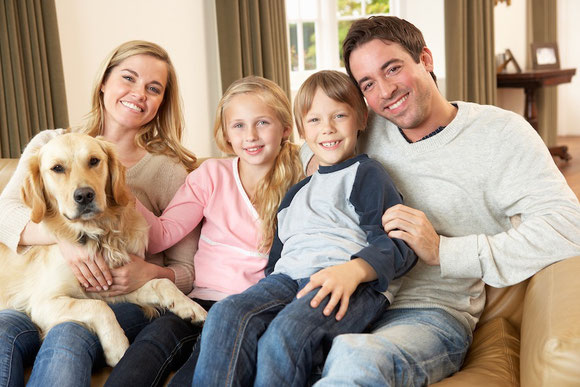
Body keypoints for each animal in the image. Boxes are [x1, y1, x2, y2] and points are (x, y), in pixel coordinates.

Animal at [0, 133, 206, 366]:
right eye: (57, 168)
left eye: (94, 161)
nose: (84, 195)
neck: (99, 235)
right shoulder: (43, 302)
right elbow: (98, 307)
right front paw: (118, 347)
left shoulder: (116, 285)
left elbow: (161, 282)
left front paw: (190, 307)